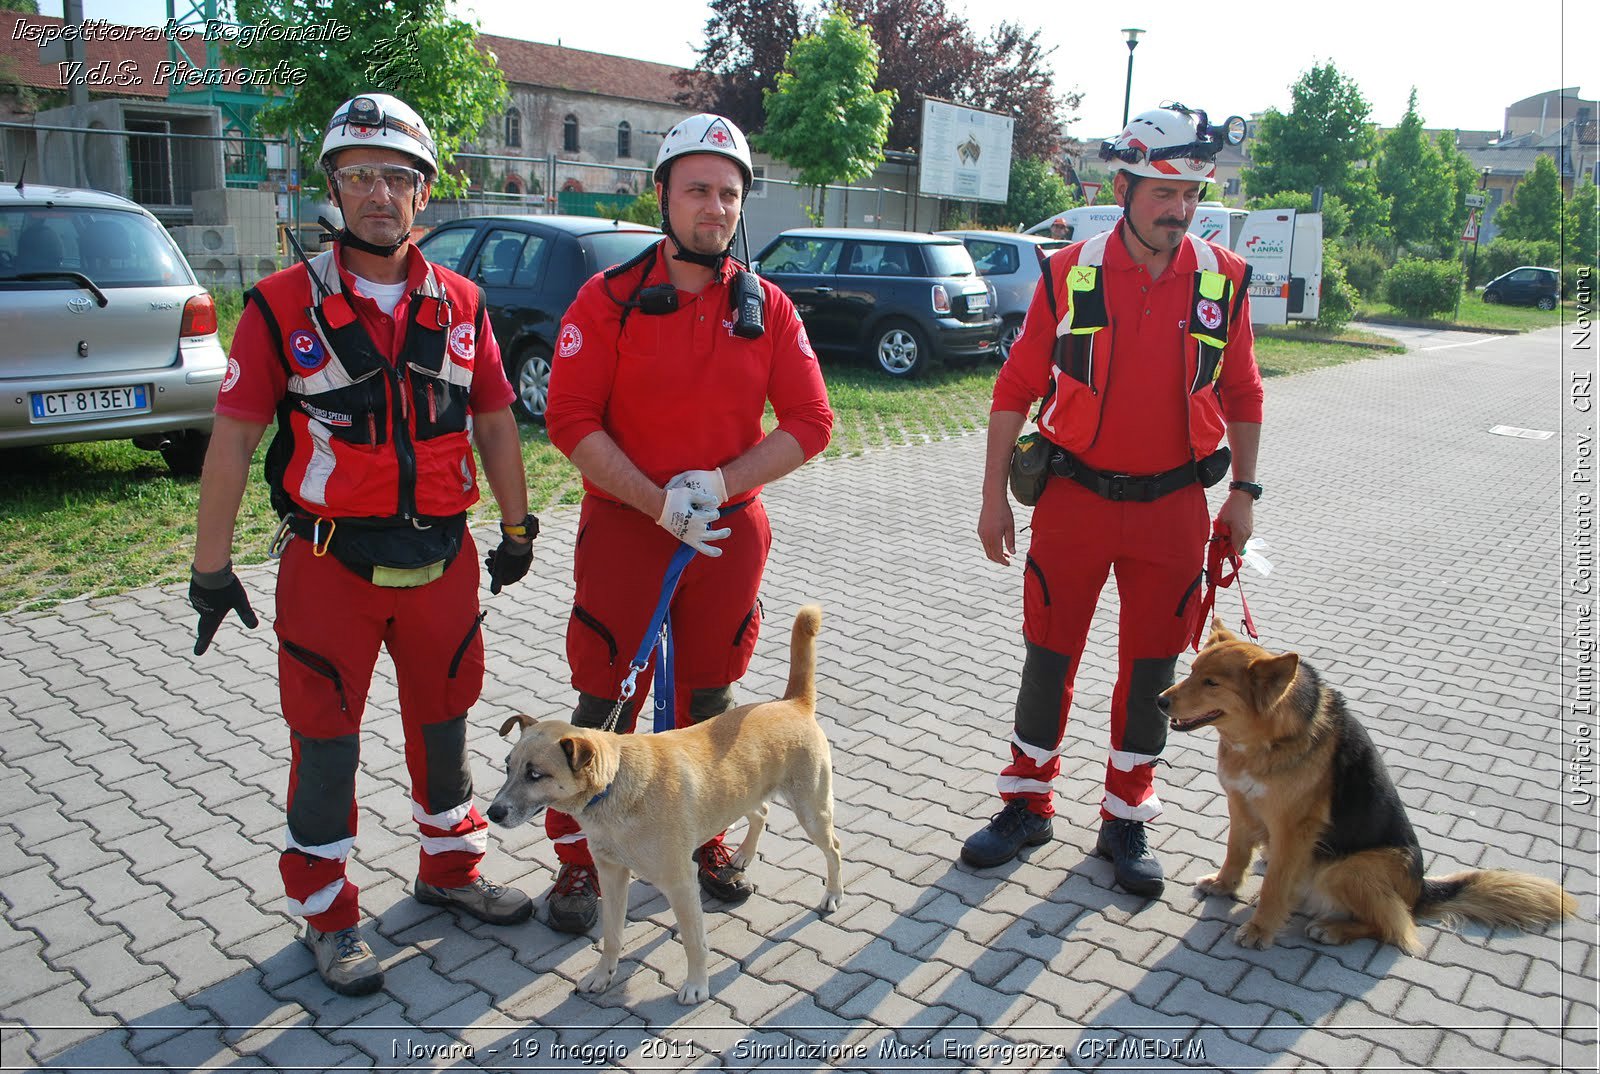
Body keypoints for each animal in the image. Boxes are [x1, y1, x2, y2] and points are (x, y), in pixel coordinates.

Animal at [483, 608, 838, 1005]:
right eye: (508, 767)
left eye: (535, 774)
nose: (493, 813)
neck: (615, 786)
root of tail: (792, 703)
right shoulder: (611, 873)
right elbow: (612, 935)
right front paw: (602, 975)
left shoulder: (680, 882)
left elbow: (694, 943)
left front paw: (696, 985)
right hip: (741, 792)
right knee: (761, 812)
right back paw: (743, 855)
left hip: (811, 811)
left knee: (834, 849)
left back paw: (832, 895)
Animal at [1158, 621, 1580, 960]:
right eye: (1191, 670)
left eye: (1212, 683)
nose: (1160, 700)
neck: (1266, 739)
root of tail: (1420, 890)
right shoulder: (1240, 804)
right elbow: (1236, 853)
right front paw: (1224, 885)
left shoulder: (1294, 827)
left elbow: (1276, 885)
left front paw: (1261, 928)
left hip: (1347, 869)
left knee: (1396, 925)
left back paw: (1333, 928)